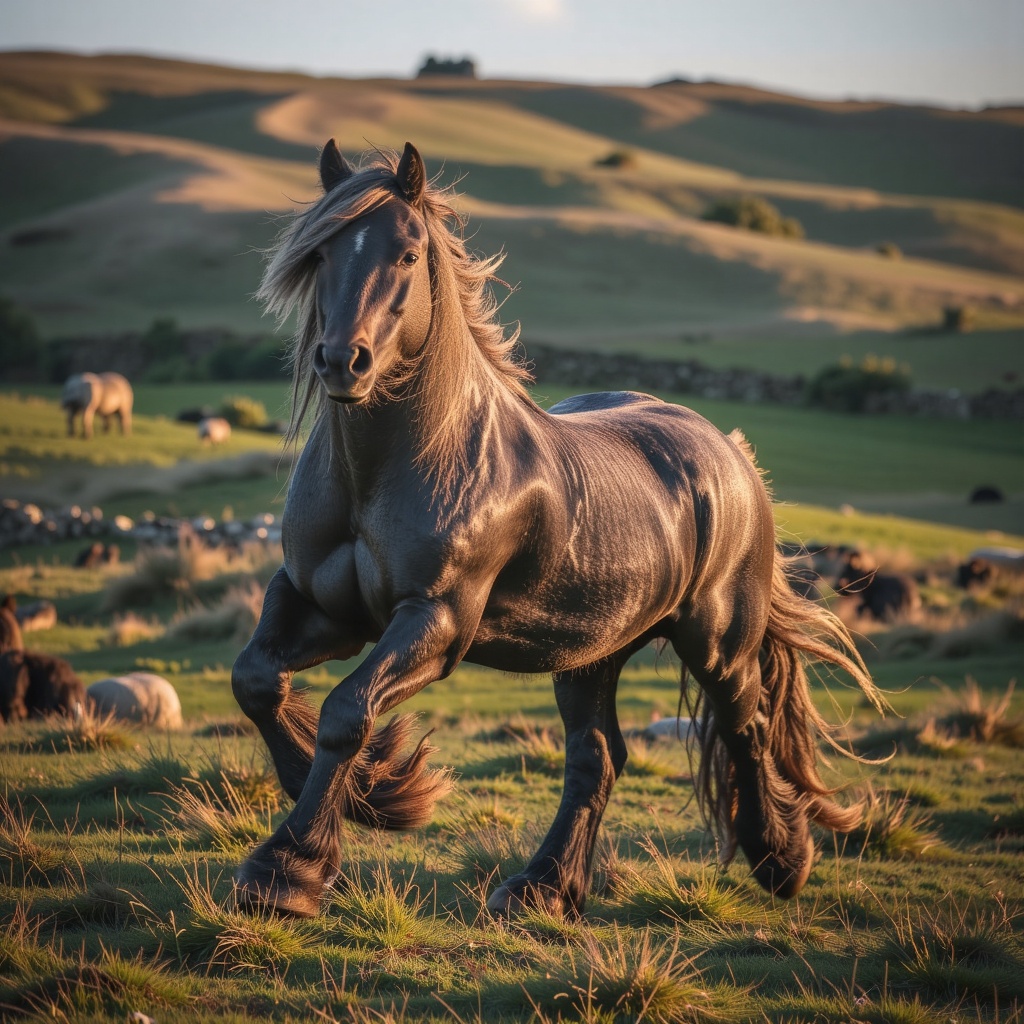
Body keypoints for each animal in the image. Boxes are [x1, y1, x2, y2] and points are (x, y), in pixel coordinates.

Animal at [230, 140, 883, 919]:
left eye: (407, 253)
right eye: (322, 252)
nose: (341, 361)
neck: (393, 466)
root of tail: (730, 453)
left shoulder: (436, 620)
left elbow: (346, 712)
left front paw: (290, 868)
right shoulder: (322, 605)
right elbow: (257, 681)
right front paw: (370, 798)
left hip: (718, 643)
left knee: (745, 727)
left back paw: (781, 859)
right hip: (589, 652)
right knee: (596, 758)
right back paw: (542, 888)